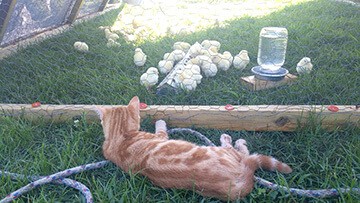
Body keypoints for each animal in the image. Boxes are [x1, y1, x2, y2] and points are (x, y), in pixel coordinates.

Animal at [96, 96, 292, 200]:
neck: (119, 136)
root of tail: (243, 179)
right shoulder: (160, 137)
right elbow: (161, 129)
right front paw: (160, 121)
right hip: (225, 153)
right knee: (241, 152)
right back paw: (233, 140)